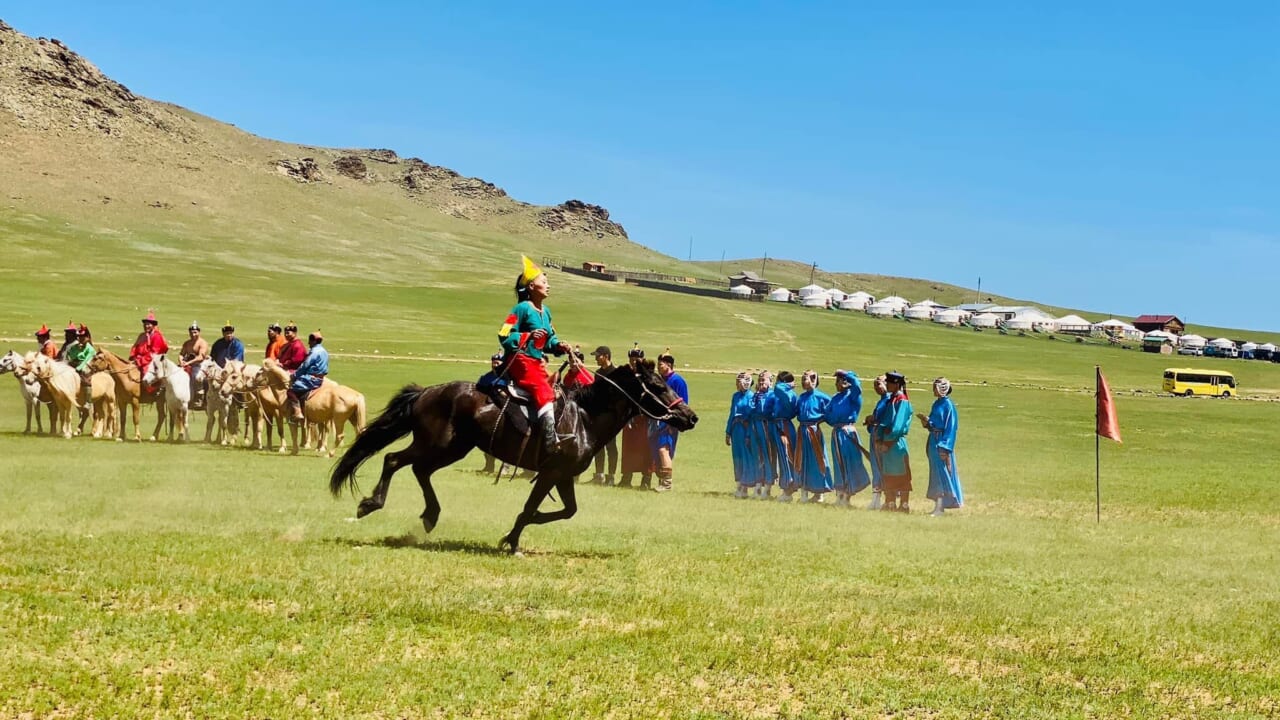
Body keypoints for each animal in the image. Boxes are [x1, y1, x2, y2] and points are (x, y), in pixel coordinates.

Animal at [329, 359, 698, 555]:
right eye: (658, 387)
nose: (691, 417)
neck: (585, 417)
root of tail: (428, 392)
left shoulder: (563, 476)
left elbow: (565, 511)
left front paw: (514, 535)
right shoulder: (551, 473)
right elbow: (532, 508)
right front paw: (512, 540)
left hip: (451, 448)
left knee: (418, 469)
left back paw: (429, 515)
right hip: (439, 445)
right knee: (395, 460)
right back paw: (371, 504)